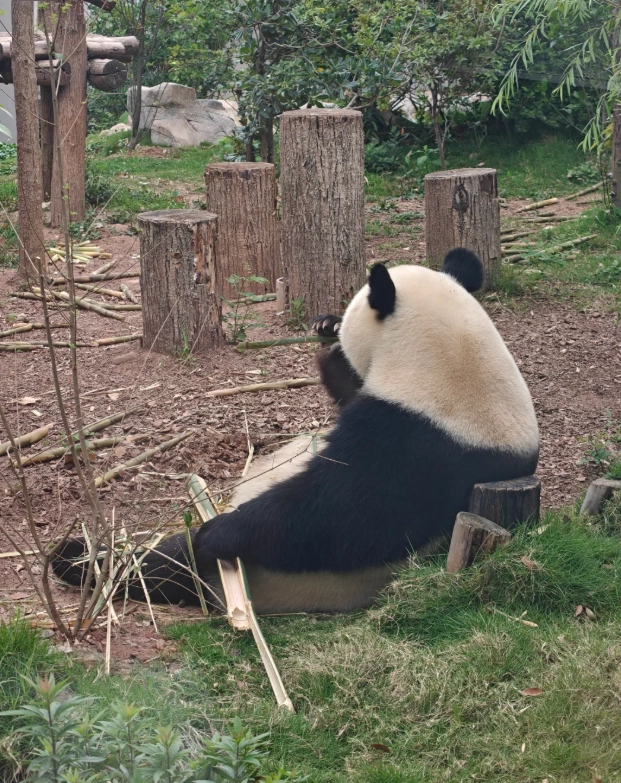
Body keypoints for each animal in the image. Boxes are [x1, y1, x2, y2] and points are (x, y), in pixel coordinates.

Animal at [52, 249, 539, 613]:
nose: (334, 327)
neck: (455, 359)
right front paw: (325, 330)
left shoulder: (416, 443)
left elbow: (336, 518)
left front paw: (218, 533)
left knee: (165, 564)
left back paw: (79, 559)